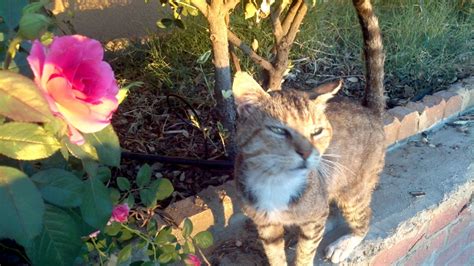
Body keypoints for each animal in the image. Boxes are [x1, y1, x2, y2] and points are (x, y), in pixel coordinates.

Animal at [232, 0, 386, 264]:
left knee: (364, 218)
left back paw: (344, 243)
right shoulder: (266, 226)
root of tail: (368, 109)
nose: (306, 153)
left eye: (317, 131)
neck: (276, 182)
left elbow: (306, 250)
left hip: (353, 191)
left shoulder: (314, 219)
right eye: (278, 130)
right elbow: (274, 253)